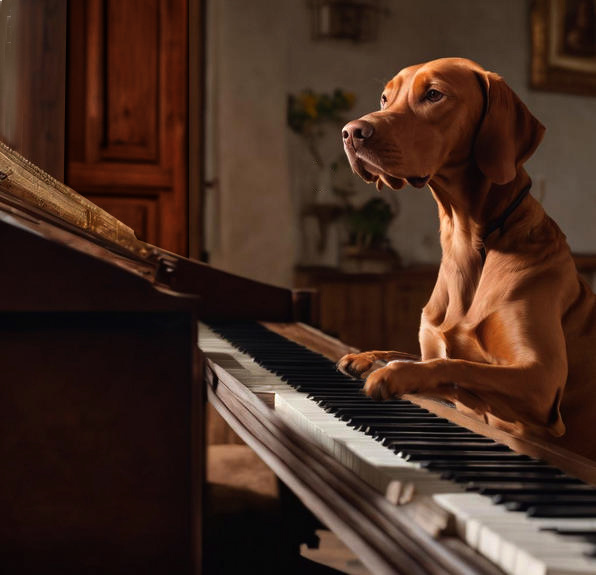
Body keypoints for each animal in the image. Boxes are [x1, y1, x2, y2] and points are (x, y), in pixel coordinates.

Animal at [338, 58, 596, 462]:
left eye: (433, 95)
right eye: (384, 97)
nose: (350, 132)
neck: (470, 243)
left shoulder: (542, 383)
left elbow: (456, 365)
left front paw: (391, 373)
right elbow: (421, 355)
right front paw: (365, 356)